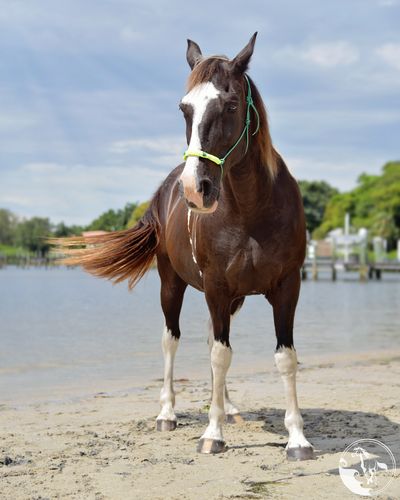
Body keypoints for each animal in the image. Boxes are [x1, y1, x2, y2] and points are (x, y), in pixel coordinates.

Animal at [60, 32, 316, 460]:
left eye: (231, 104)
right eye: (184, 108)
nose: (196, 189)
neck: (251, 210)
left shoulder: (286, 288)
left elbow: (284, 358)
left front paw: (297, 438)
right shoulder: (216, 287)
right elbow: (219, 355)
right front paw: (212, 434)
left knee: (215, 343)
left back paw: (228, 407)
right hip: (172, 283)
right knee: (172, 340)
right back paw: (167, 413)